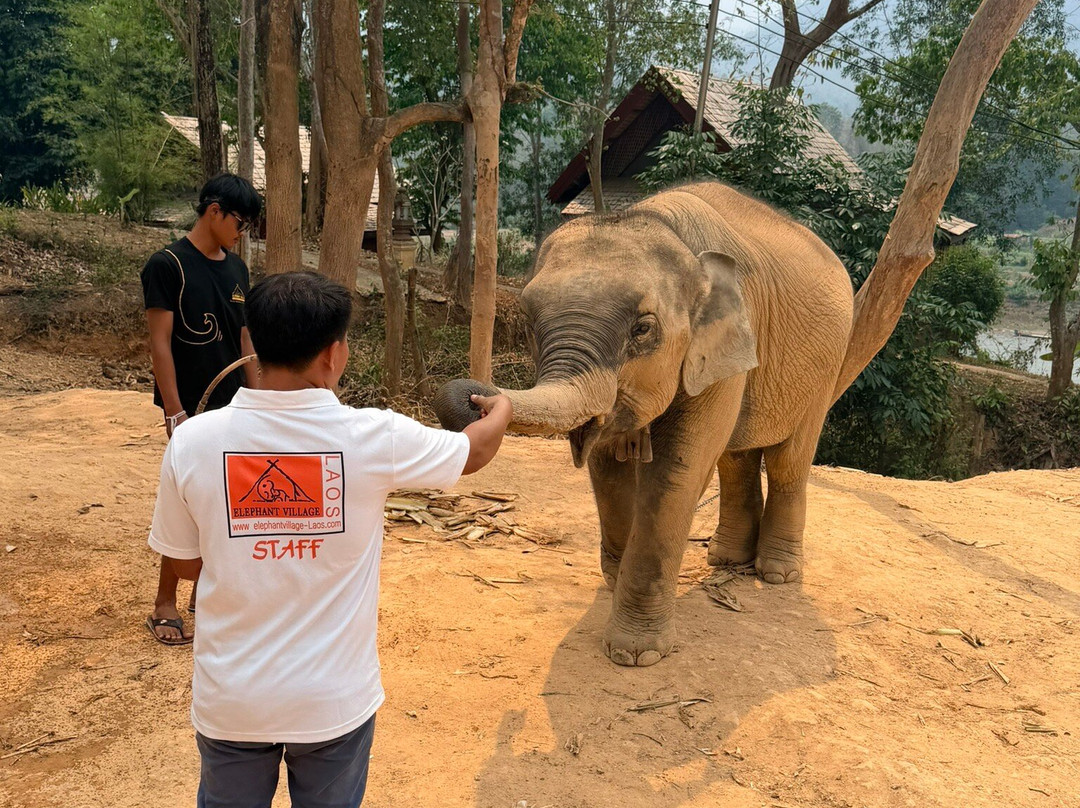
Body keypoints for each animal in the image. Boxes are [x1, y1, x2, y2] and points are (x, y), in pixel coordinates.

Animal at [433, 181, 854, 667]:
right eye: (530, 325)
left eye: (643, 329)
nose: (475, 398)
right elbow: (607, 467)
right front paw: (615, 585)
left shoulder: (718, 352)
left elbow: (676, 473)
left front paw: (635, 654)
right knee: (736, 458)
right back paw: (725, 562)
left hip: (826, 368)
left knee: (788, 460)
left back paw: (776, 574)